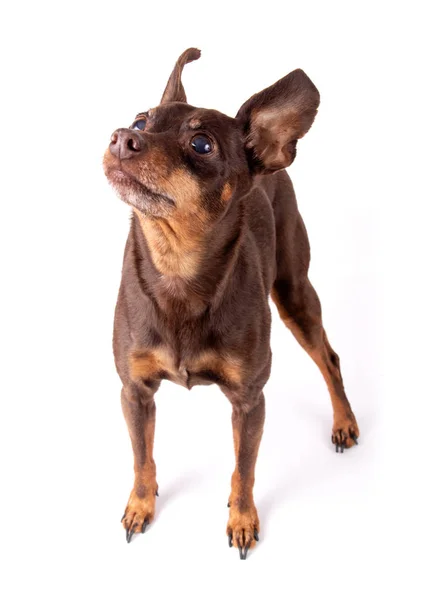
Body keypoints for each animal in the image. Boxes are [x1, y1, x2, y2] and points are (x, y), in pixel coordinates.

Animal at [103, 47, 362, 556]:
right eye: (141, 121)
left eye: (202, 144)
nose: (122, 137)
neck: (178, 268)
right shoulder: (134, 392)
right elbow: (142, 458)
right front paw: (141, 505)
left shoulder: (249, 400)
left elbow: (245, 469)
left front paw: (242, 520)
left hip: (295, 294)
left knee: (330, 358)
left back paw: (343, 421)